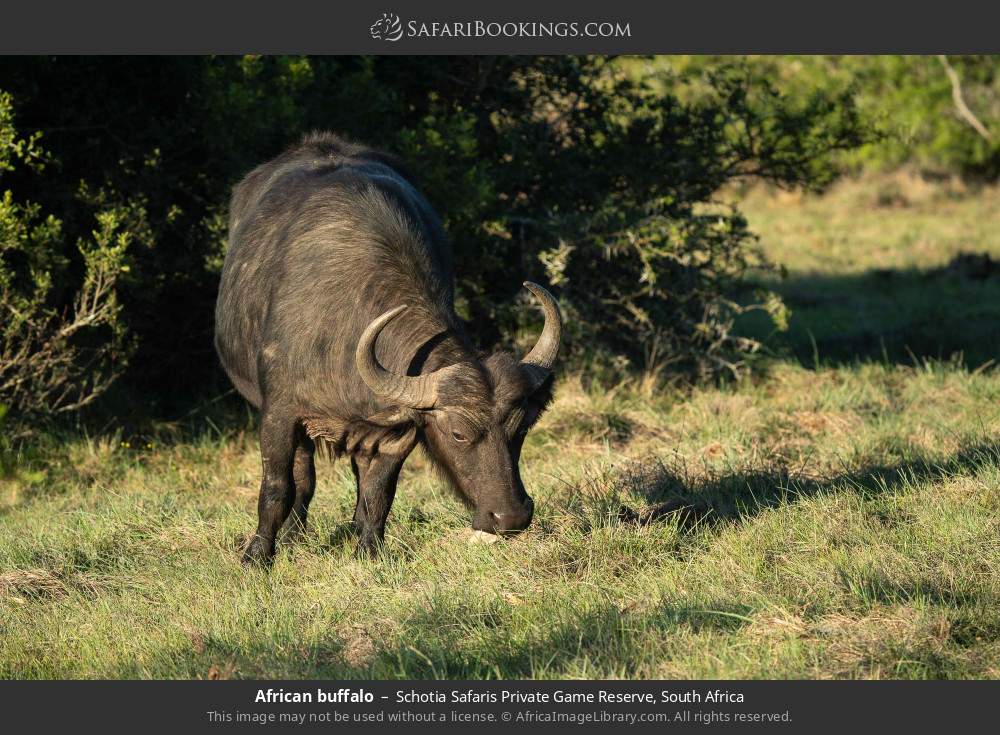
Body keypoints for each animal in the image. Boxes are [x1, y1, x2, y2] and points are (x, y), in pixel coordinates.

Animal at [215, 132, 562, 564]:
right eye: (458, 434)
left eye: (521, 426)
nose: (511, 516)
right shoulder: (279, 413)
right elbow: (277, 486)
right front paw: (257, 556)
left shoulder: (397, 433)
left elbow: (379, 492)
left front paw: (369, 550)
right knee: (302, 474)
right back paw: (293, 534)